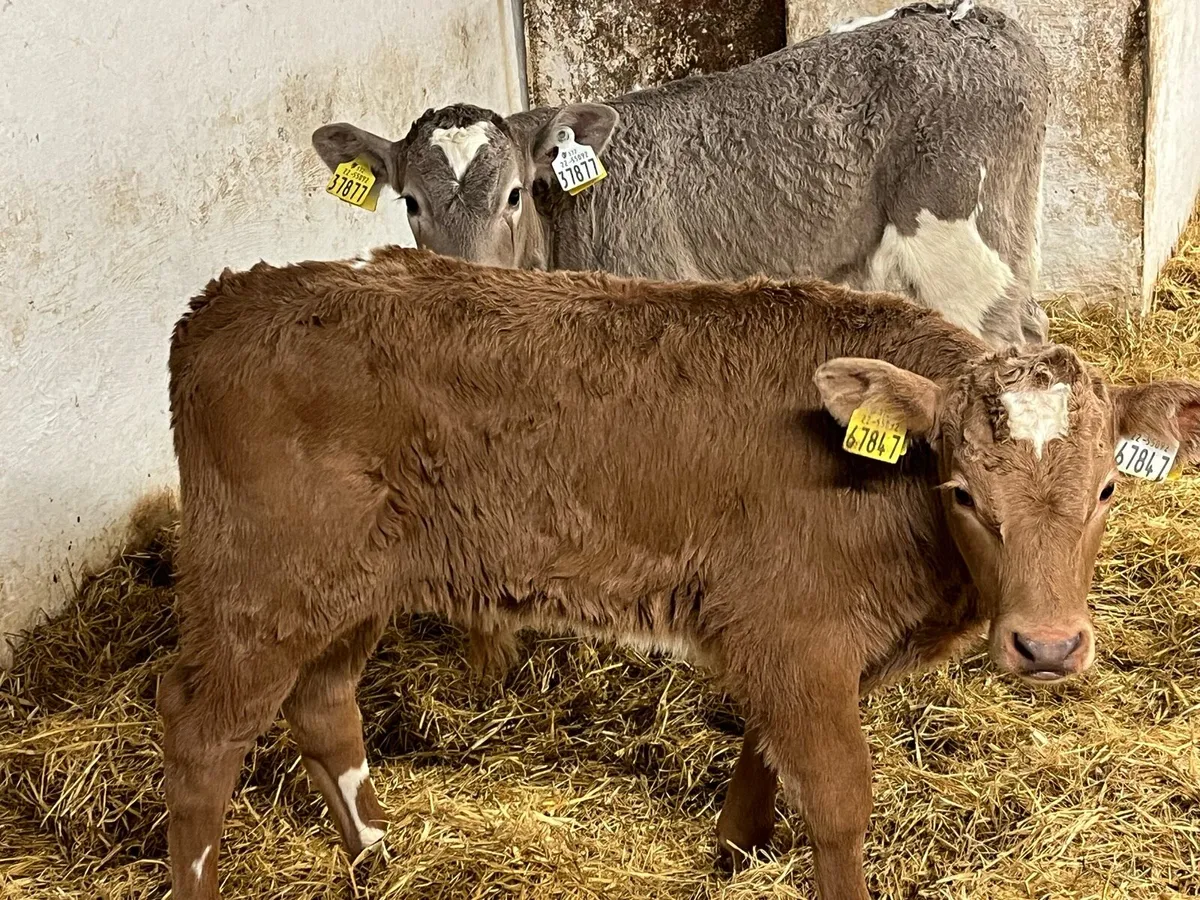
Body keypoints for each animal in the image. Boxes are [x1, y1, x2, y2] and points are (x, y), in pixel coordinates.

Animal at [161, 246, 1200, 900]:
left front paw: (732, 853)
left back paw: (378, 856)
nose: (1049, 647)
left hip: (351, 590)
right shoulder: (795, 632)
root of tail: (224, 301)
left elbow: (764, 755)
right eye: (962, 492)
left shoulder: (786, 644)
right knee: (200, 733)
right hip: (259, 587)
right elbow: (837, 800)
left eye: (1108, 488)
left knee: (323, 705)